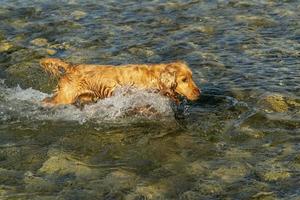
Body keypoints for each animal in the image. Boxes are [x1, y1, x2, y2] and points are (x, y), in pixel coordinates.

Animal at [39, 57, 199, 106]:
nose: (199, 93)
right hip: (65, 97)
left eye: (192, 77)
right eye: (184, 80)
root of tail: (71, 67)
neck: (155, 77)